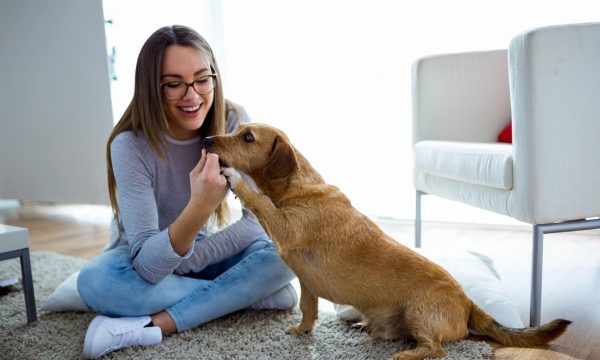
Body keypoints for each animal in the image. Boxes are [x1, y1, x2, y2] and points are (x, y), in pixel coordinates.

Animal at [203, 124, 572, 360]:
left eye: (247, 137)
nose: (206, 140)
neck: (296, 187)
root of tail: (467, 303)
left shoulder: (284, 226)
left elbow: (258, 200)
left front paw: (235, 178)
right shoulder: (306, 284)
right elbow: (309, 311)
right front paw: (302, 331)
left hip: (419, 313)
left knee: (436, 350)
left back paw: (405, 355)